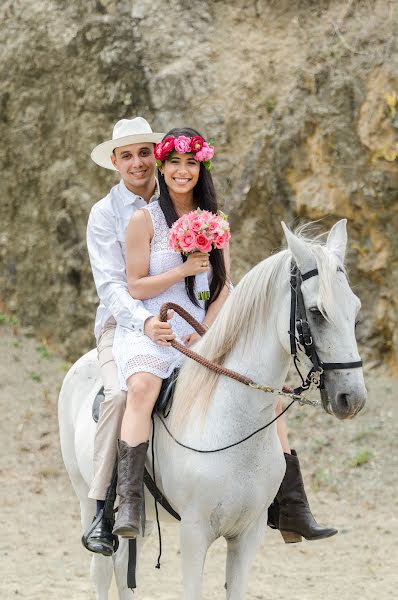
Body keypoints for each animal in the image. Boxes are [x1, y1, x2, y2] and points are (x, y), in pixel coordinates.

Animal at [58, 221, 366, 600]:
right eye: (317, 312)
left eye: (355, 310)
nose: (352, 398)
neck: (232, 422)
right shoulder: (194, 533)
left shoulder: (248, 535)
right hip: (87, 497)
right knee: (102, 567)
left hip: (142, 516)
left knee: (123, 564)